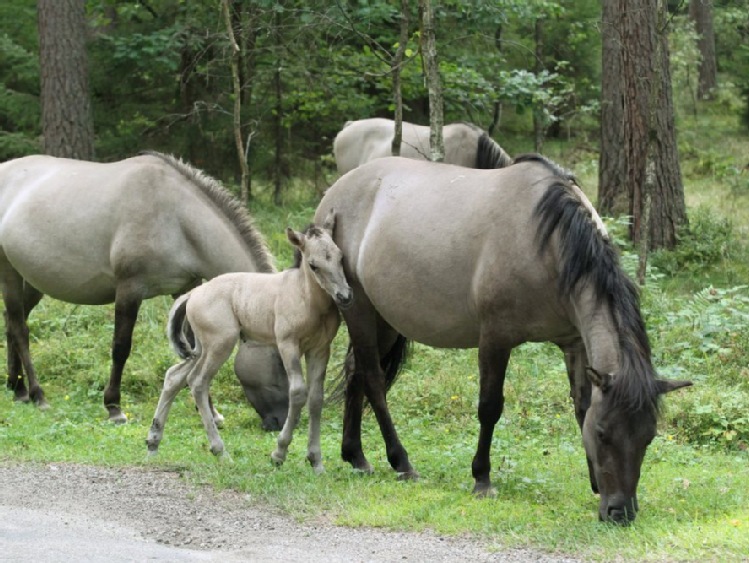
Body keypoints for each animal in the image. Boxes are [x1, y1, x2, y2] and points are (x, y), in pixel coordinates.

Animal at [0, 150, 286, 428]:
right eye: (279, 362)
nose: (281, 422)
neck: (177, 219)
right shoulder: (129, 290)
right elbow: (121, 347)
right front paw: (114, 408)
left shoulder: (186, 288)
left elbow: (195, 352)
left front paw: (211, 412)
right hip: (9, 271)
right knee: (20, 328)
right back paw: (37, 394)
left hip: (32, 279)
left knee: (12, 323)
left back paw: (17, 388)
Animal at [149, 209, 354, 470]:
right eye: (313, 265)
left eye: (339, 257)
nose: (344, 296)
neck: (306, 297)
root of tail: (194, 293)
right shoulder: (287, 344)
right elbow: (298, 392)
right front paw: (279, 453)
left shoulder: (320, 349)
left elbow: (316, 398)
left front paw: (316, 461)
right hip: (220, 343)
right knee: (197, 382)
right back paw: (220, 450)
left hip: (201, 348)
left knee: (174, 376)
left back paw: (153, 442)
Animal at [312, 153, 692, 524]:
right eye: (603, 433)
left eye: (648, 437)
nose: (620, 512)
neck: (547, 244)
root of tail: (336, 191)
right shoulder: (495, 339)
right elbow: (489, 408)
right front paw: (482, 479)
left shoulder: (574, 344)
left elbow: (581, 407)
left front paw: (594, 482)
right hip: (358, 308)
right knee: (373, 381)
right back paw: (401, 462)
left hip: (384, 321)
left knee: (356, 375)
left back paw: (356, 456)